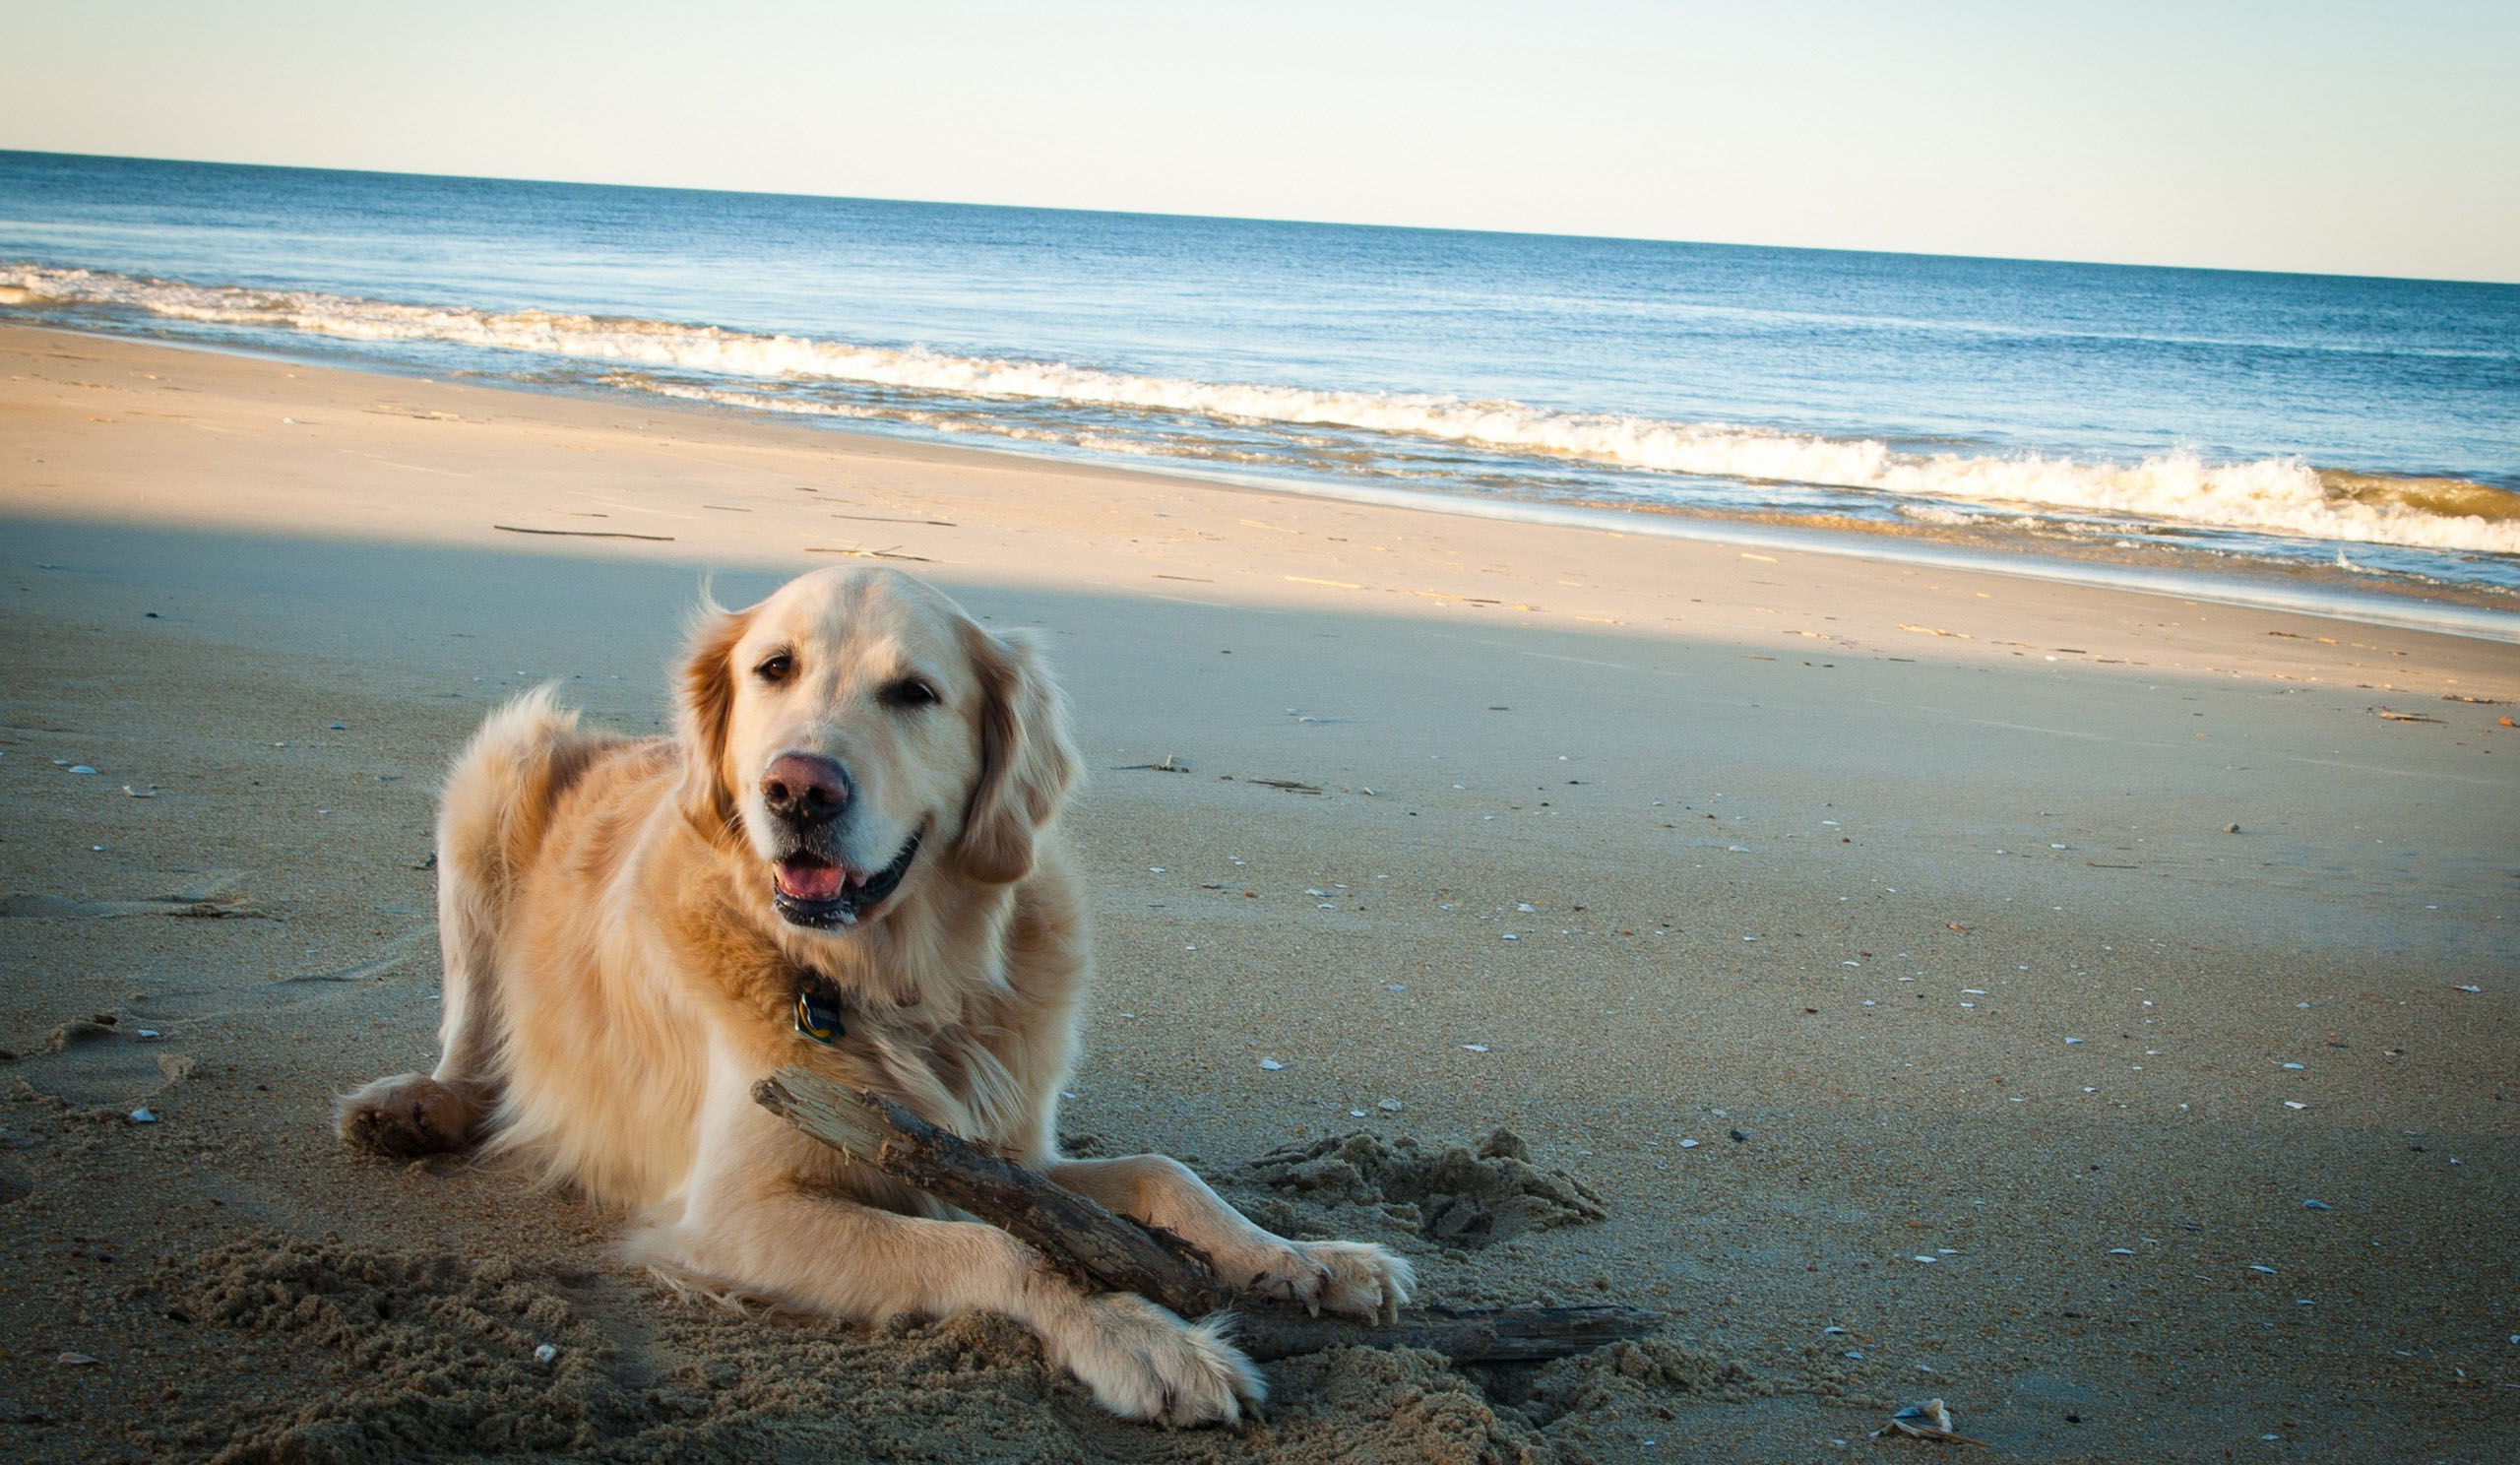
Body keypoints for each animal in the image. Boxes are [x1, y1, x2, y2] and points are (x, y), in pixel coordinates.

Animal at [335, 564, 1411, 1422]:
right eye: (773, 668)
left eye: (915, 693)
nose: (798, 790)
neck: (893, 984)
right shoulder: (736, 1211)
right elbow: (1006, 1250)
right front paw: (1144, 1339)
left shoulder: (1006, 1154)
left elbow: (1163, 1174)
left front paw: (1310, 1259)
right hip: (496, 768)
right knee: (474, 1039)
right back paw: (415, 1107)